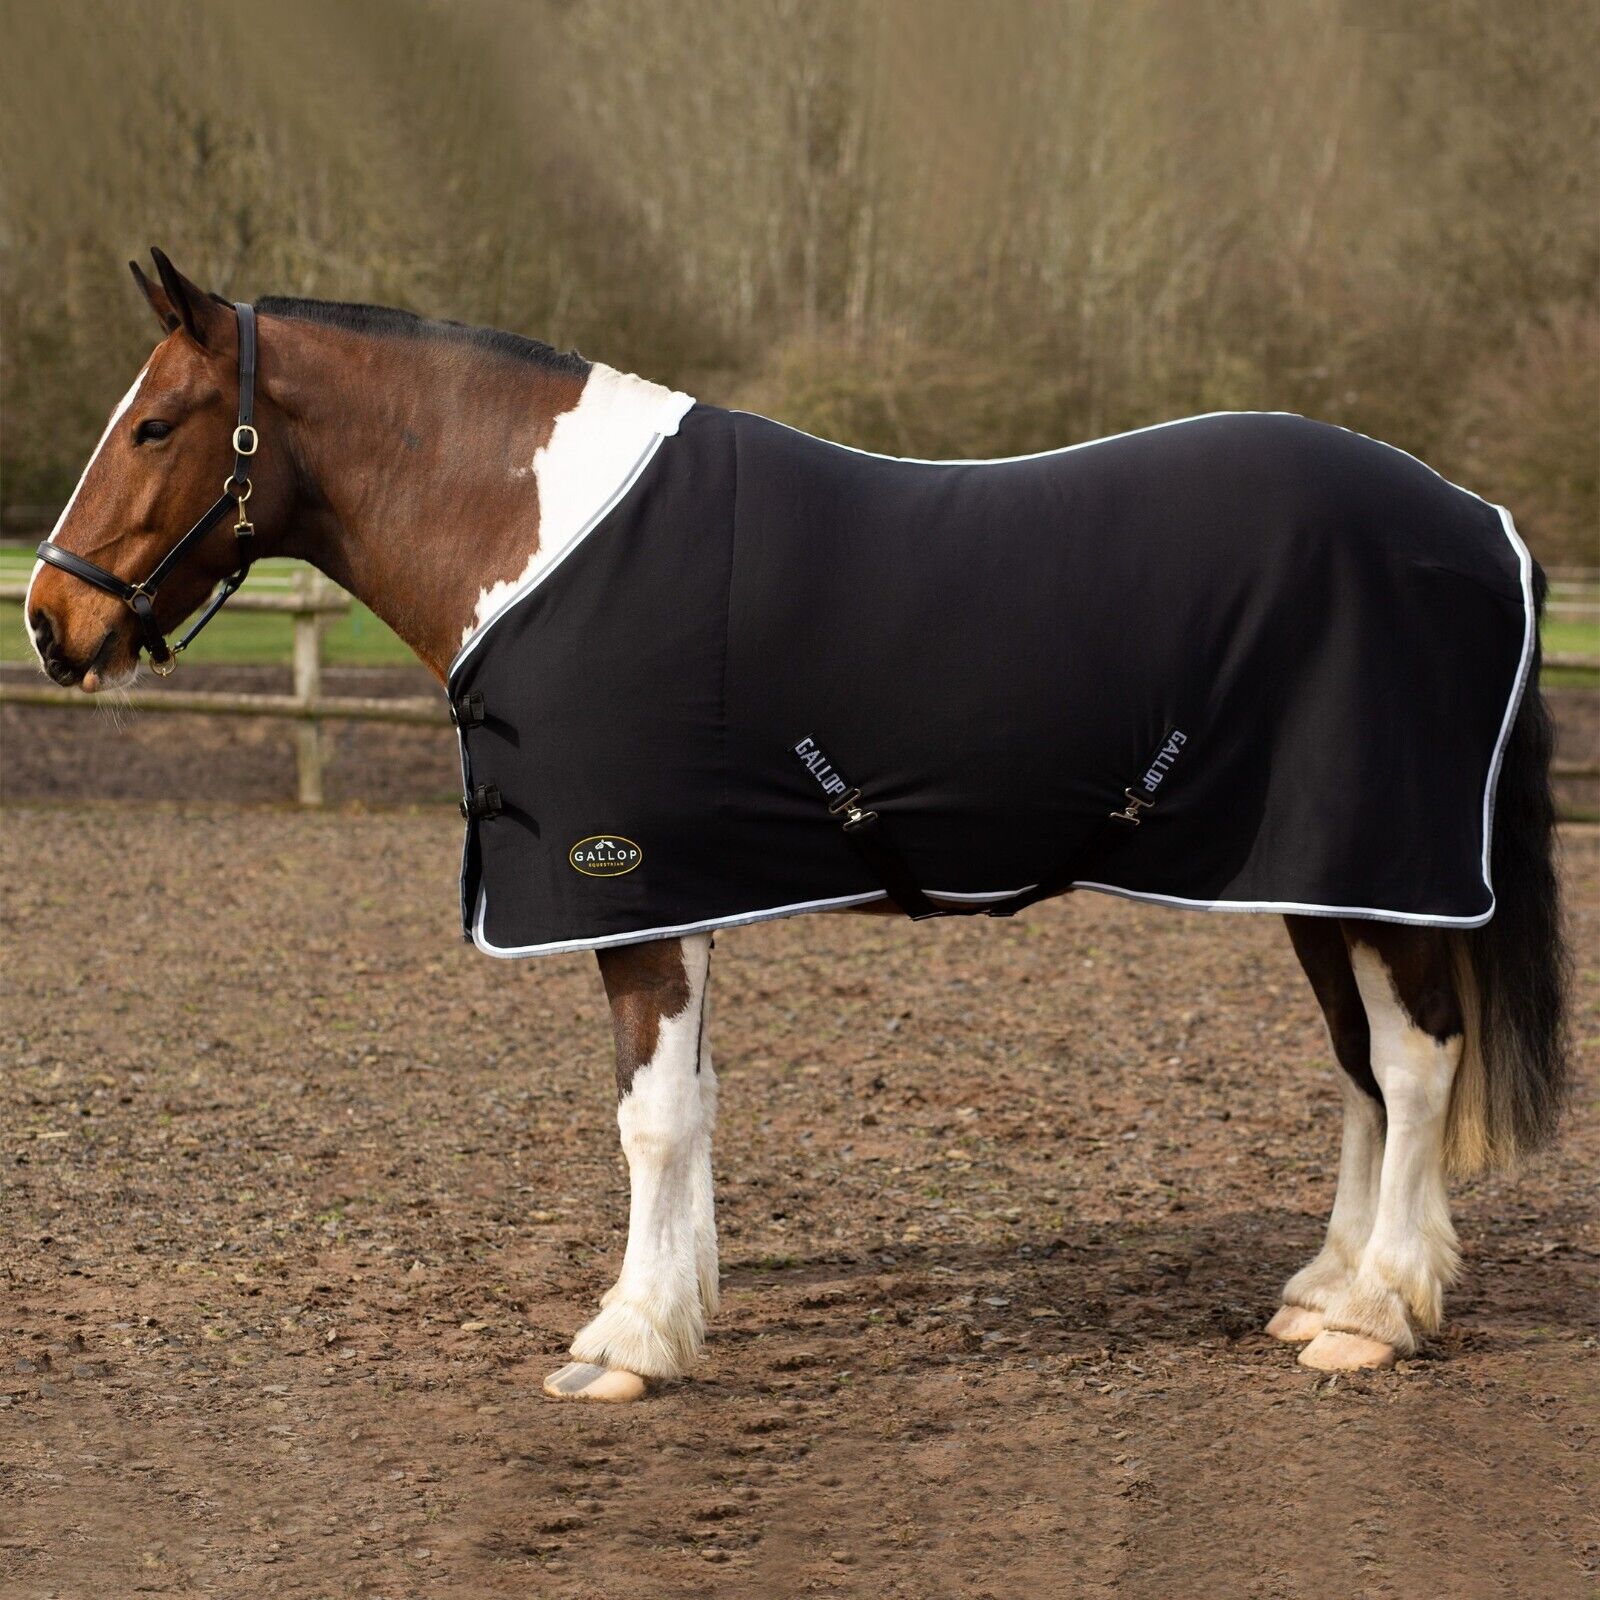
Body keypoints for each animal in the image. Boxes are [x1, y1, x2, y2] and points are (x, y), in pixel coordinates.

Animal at [26, 250, 1568, 1403]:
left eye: (154, 425)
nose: (50, 621)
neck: (550, 542)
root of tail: (1481, 523)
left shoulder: (631, 887)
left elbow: (650, 1116)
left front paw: (627, 1344)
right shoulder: (687, 890)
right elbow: (692, 1104)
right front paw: (677, 1303)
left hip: (1374, 874)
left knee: (1417, 1063)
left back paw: (1375, 1316)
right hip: (1316, 879)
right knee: (1365, 1069)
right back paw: (1336, 1288)